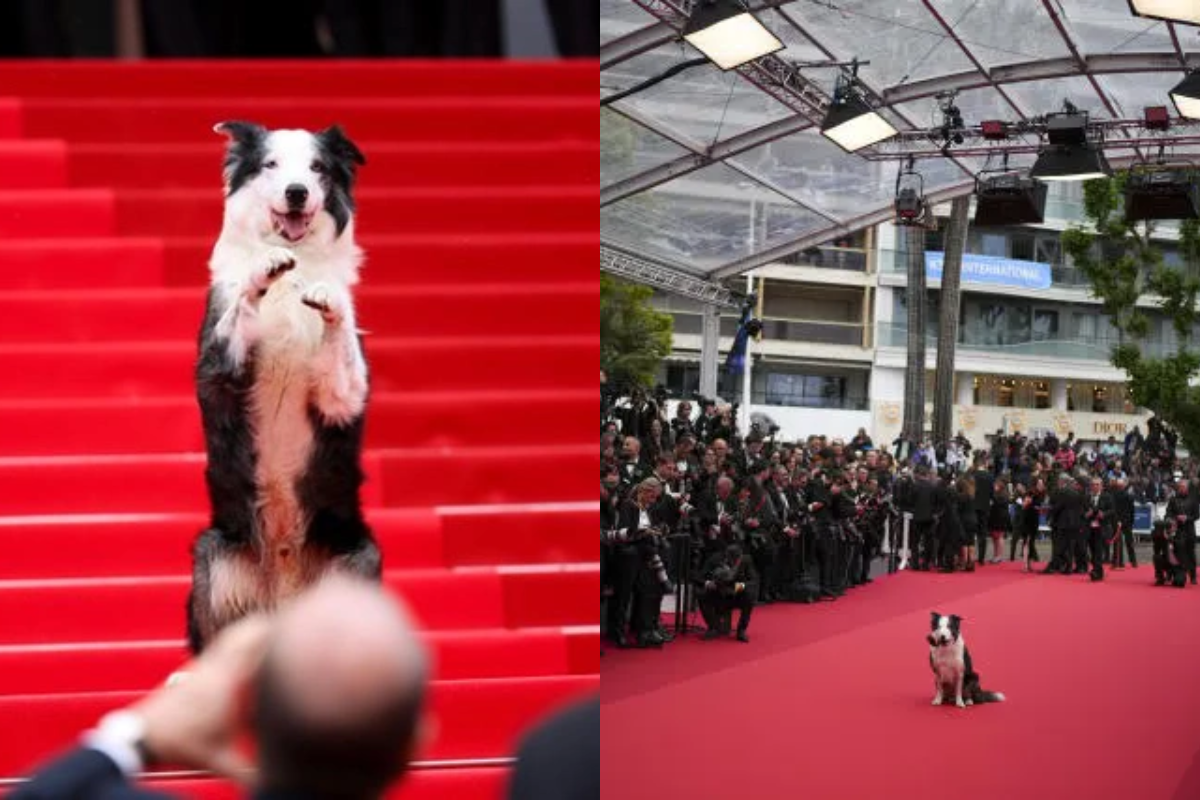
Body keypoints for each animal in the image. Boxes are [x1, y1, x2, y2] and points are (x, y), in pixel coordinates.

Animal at [187, 120, 379, 657]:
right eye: (270, 164)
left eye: (317, 168)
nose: (297, 192)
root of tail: (284, 595)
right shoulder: (222, 366)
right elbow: (239, 308)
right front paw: (262, 269)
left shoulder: (342, 397)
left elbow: (343, 355)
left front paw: (329, 299)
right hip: (214, 554)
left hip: (359, 559)